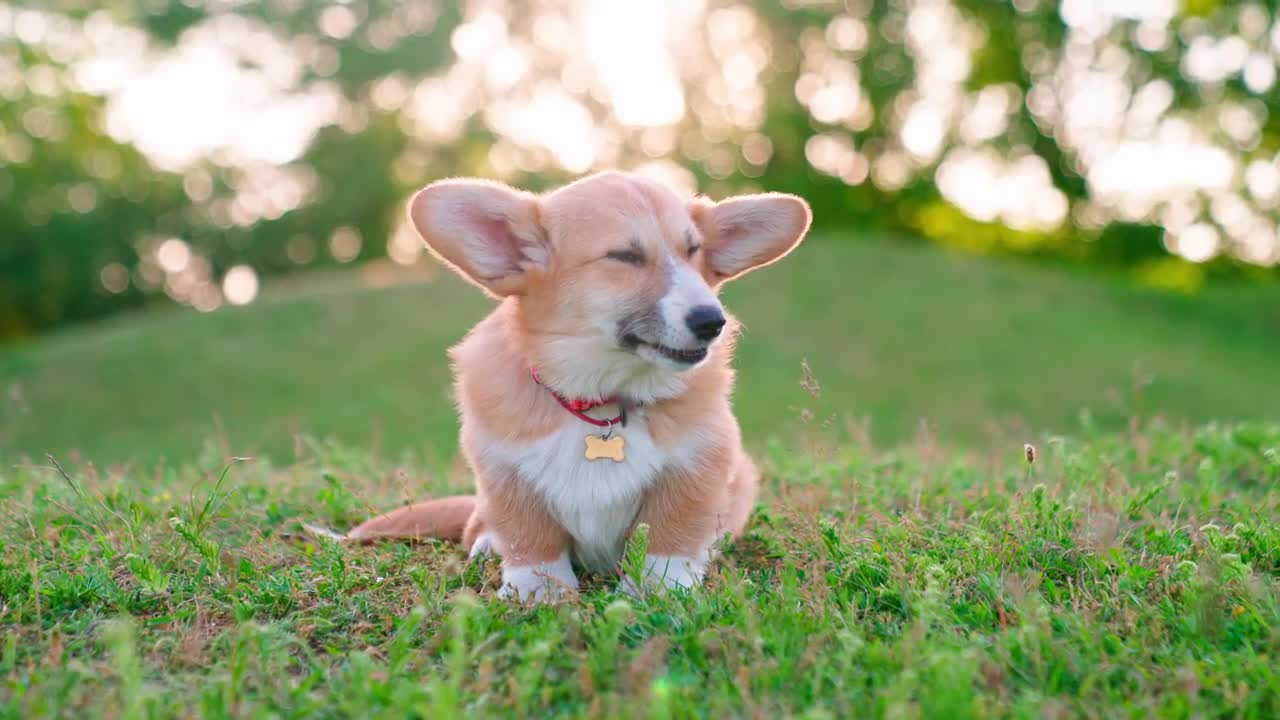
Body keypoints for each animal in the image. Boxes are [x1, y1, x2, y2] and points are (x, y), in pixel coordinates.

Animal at [343, 169, 808, 599]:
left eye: (693, 251)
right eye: (623, 256)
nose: (713, 322)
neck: (601, 398)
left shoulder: (699, 465)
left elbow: (671, 533)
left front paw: (658, 588)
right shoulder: (504, 472)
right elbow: (529, 534)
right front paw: (539, 589)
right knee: (479, 522)